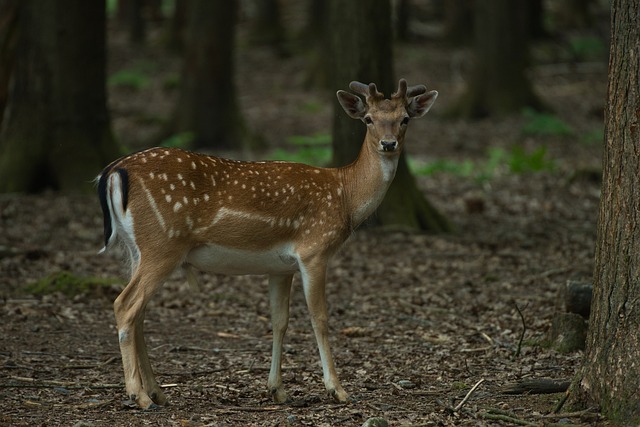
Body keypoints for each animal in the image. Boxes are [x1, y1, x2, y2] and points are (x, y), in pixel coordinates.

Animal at [97, 78, 438, 410]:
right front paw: (338, 390)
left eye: (404, 119)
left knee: (138, 313)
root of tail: (112, 171)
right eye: (368, 119)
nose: (389, 143)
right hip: (162, 244)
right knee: (125, 305)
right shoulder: (314, 249)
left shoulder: (280, 267)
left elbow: (279, 321)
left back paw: (158, 393)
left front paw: (277, 390)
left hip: (136, 249)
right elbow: (320, 318)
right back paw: (138, 395)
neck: (345, 196)